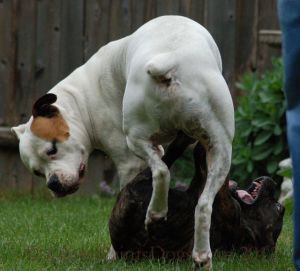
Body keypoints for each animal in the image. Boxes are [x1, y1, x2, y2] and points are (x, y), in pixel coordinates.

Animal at [11, 16, 234, 270]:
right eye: (37, 172)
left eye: (52, 149)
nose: (54, 184)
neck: (82, 100)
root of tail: (168, 63)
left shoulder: (129, 163)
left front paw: (114, 254)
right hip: (220, 150)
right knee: (203, 203)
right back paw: (201, 254)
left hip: (134, 139)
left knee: (161, 172)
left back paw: (156, 214)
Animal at [109, 133, 284, 260]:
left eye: (278, 208)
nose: (273, 183)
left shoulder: (228, 208)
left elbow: (204, 157)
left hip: (136, 189)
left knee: (167, 160)